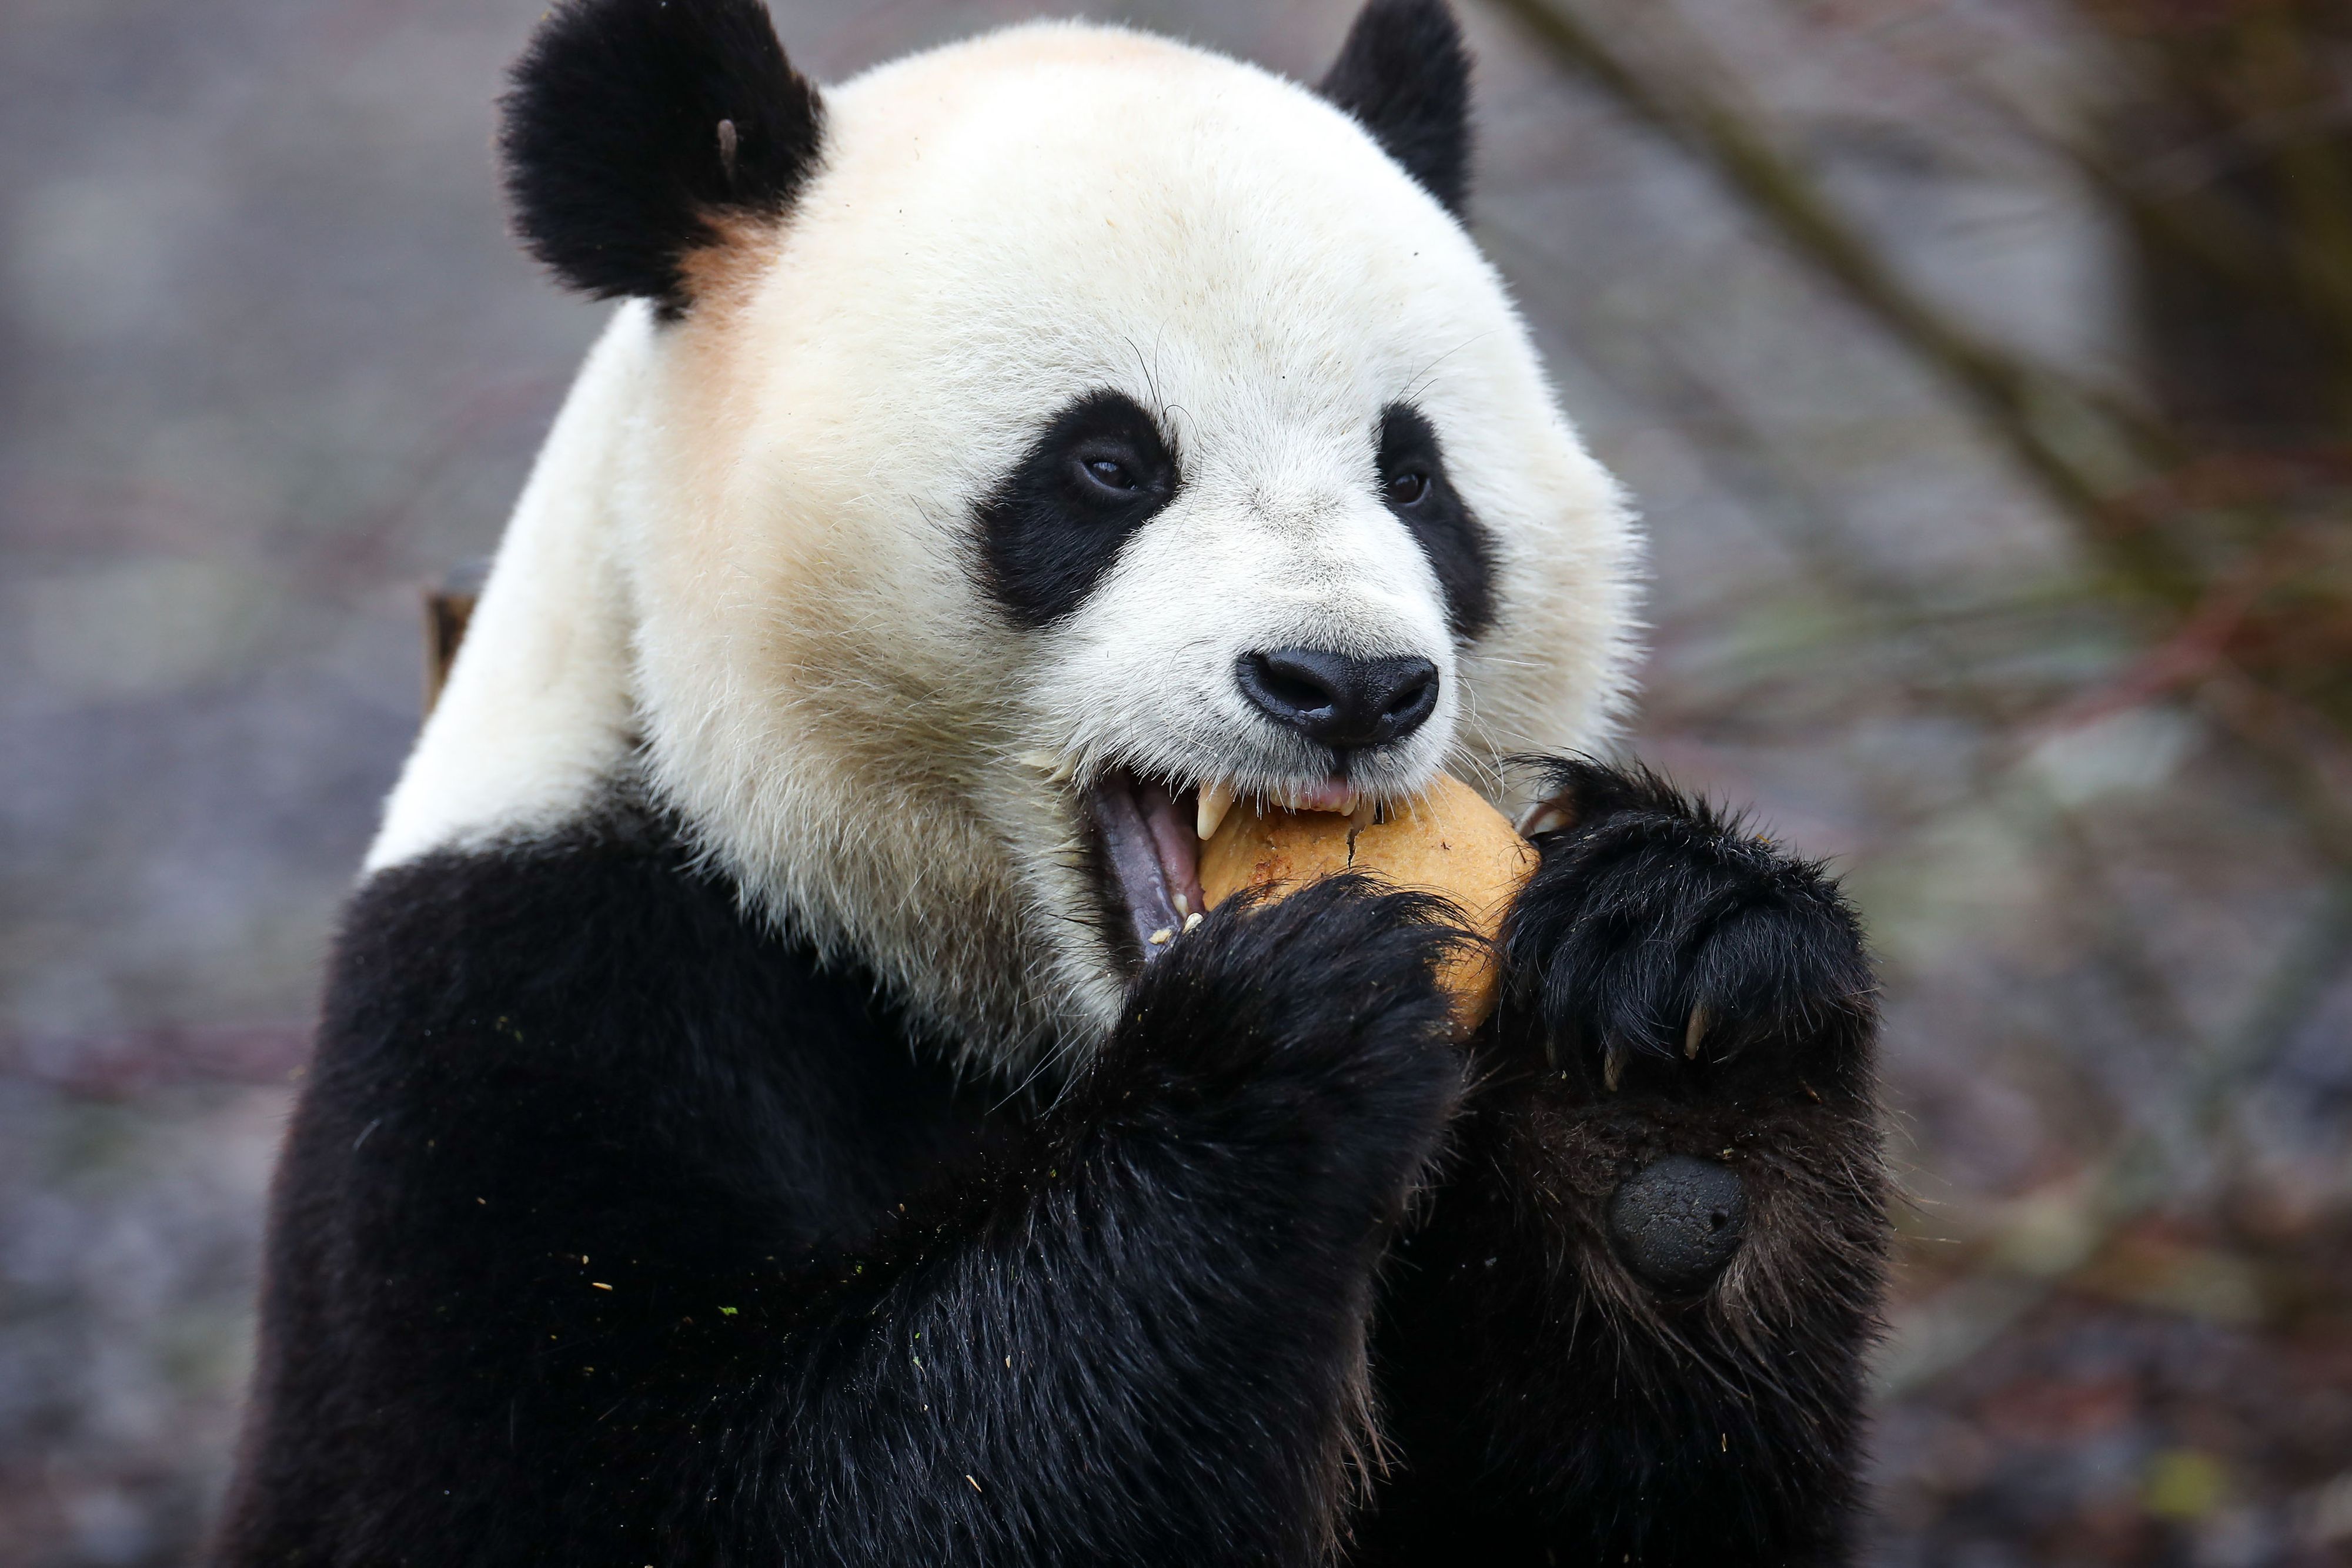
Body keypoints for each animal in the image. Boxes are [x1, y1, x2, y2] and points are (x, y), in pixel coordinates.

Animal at [216, 1, 1886, 1564]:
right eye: (1106, 465)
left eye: (1414, 477)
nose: (1345, 686)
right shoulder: (518, 1022)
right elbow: (670, 1489)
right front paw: (1286, 1033)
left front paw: (1676, 1013)